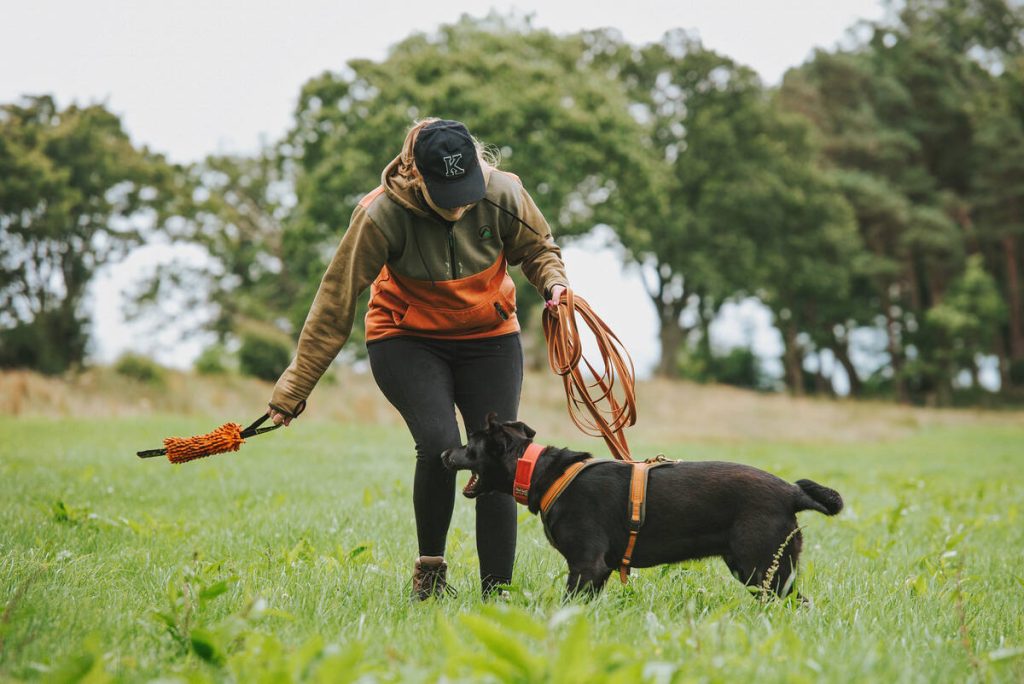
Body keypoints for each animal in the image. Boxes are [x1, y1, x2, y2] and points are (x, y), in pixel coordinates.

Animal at [444, 411, 843, 597]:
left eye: (471, 443)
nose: (445, 453)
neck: (543, 471)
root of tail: (791, 491)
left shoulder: (586, 565)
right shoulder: (599, 571)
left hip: (763, 568)